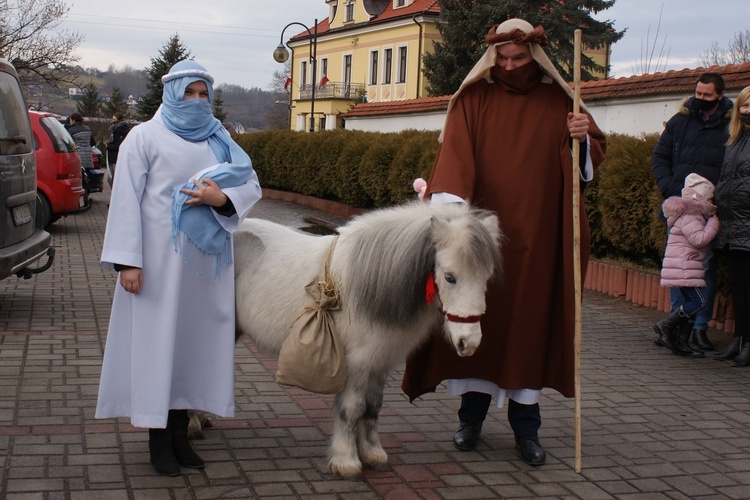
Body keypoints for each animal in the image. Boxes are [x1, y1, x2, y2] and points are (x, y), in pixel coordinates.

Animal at [234, 201, 506, 478]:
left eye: (485, 277)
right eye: (450, 277)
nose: (468, 343)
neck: (368, 284)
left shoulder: (381, 363)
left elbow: (373, 407)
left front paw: (372, 453)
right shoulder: (358, 364)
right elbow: (352, 409)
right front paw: (346, 461)